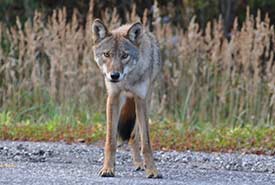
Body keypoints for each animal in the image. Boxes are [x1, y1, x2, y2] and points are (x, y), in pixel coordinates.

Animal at [91, 18, 163, 178]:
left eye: (124, 56)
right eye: (107, 54)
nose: (114, 75)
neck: (128, 79)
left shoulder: (141, 100)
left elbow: (146, 143)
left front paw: (152, 170)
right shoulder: (113, 98)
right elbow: (110, 141)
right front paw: (108, 168)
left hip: (143, 101)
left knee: (133, 136)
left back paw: (140, 164)